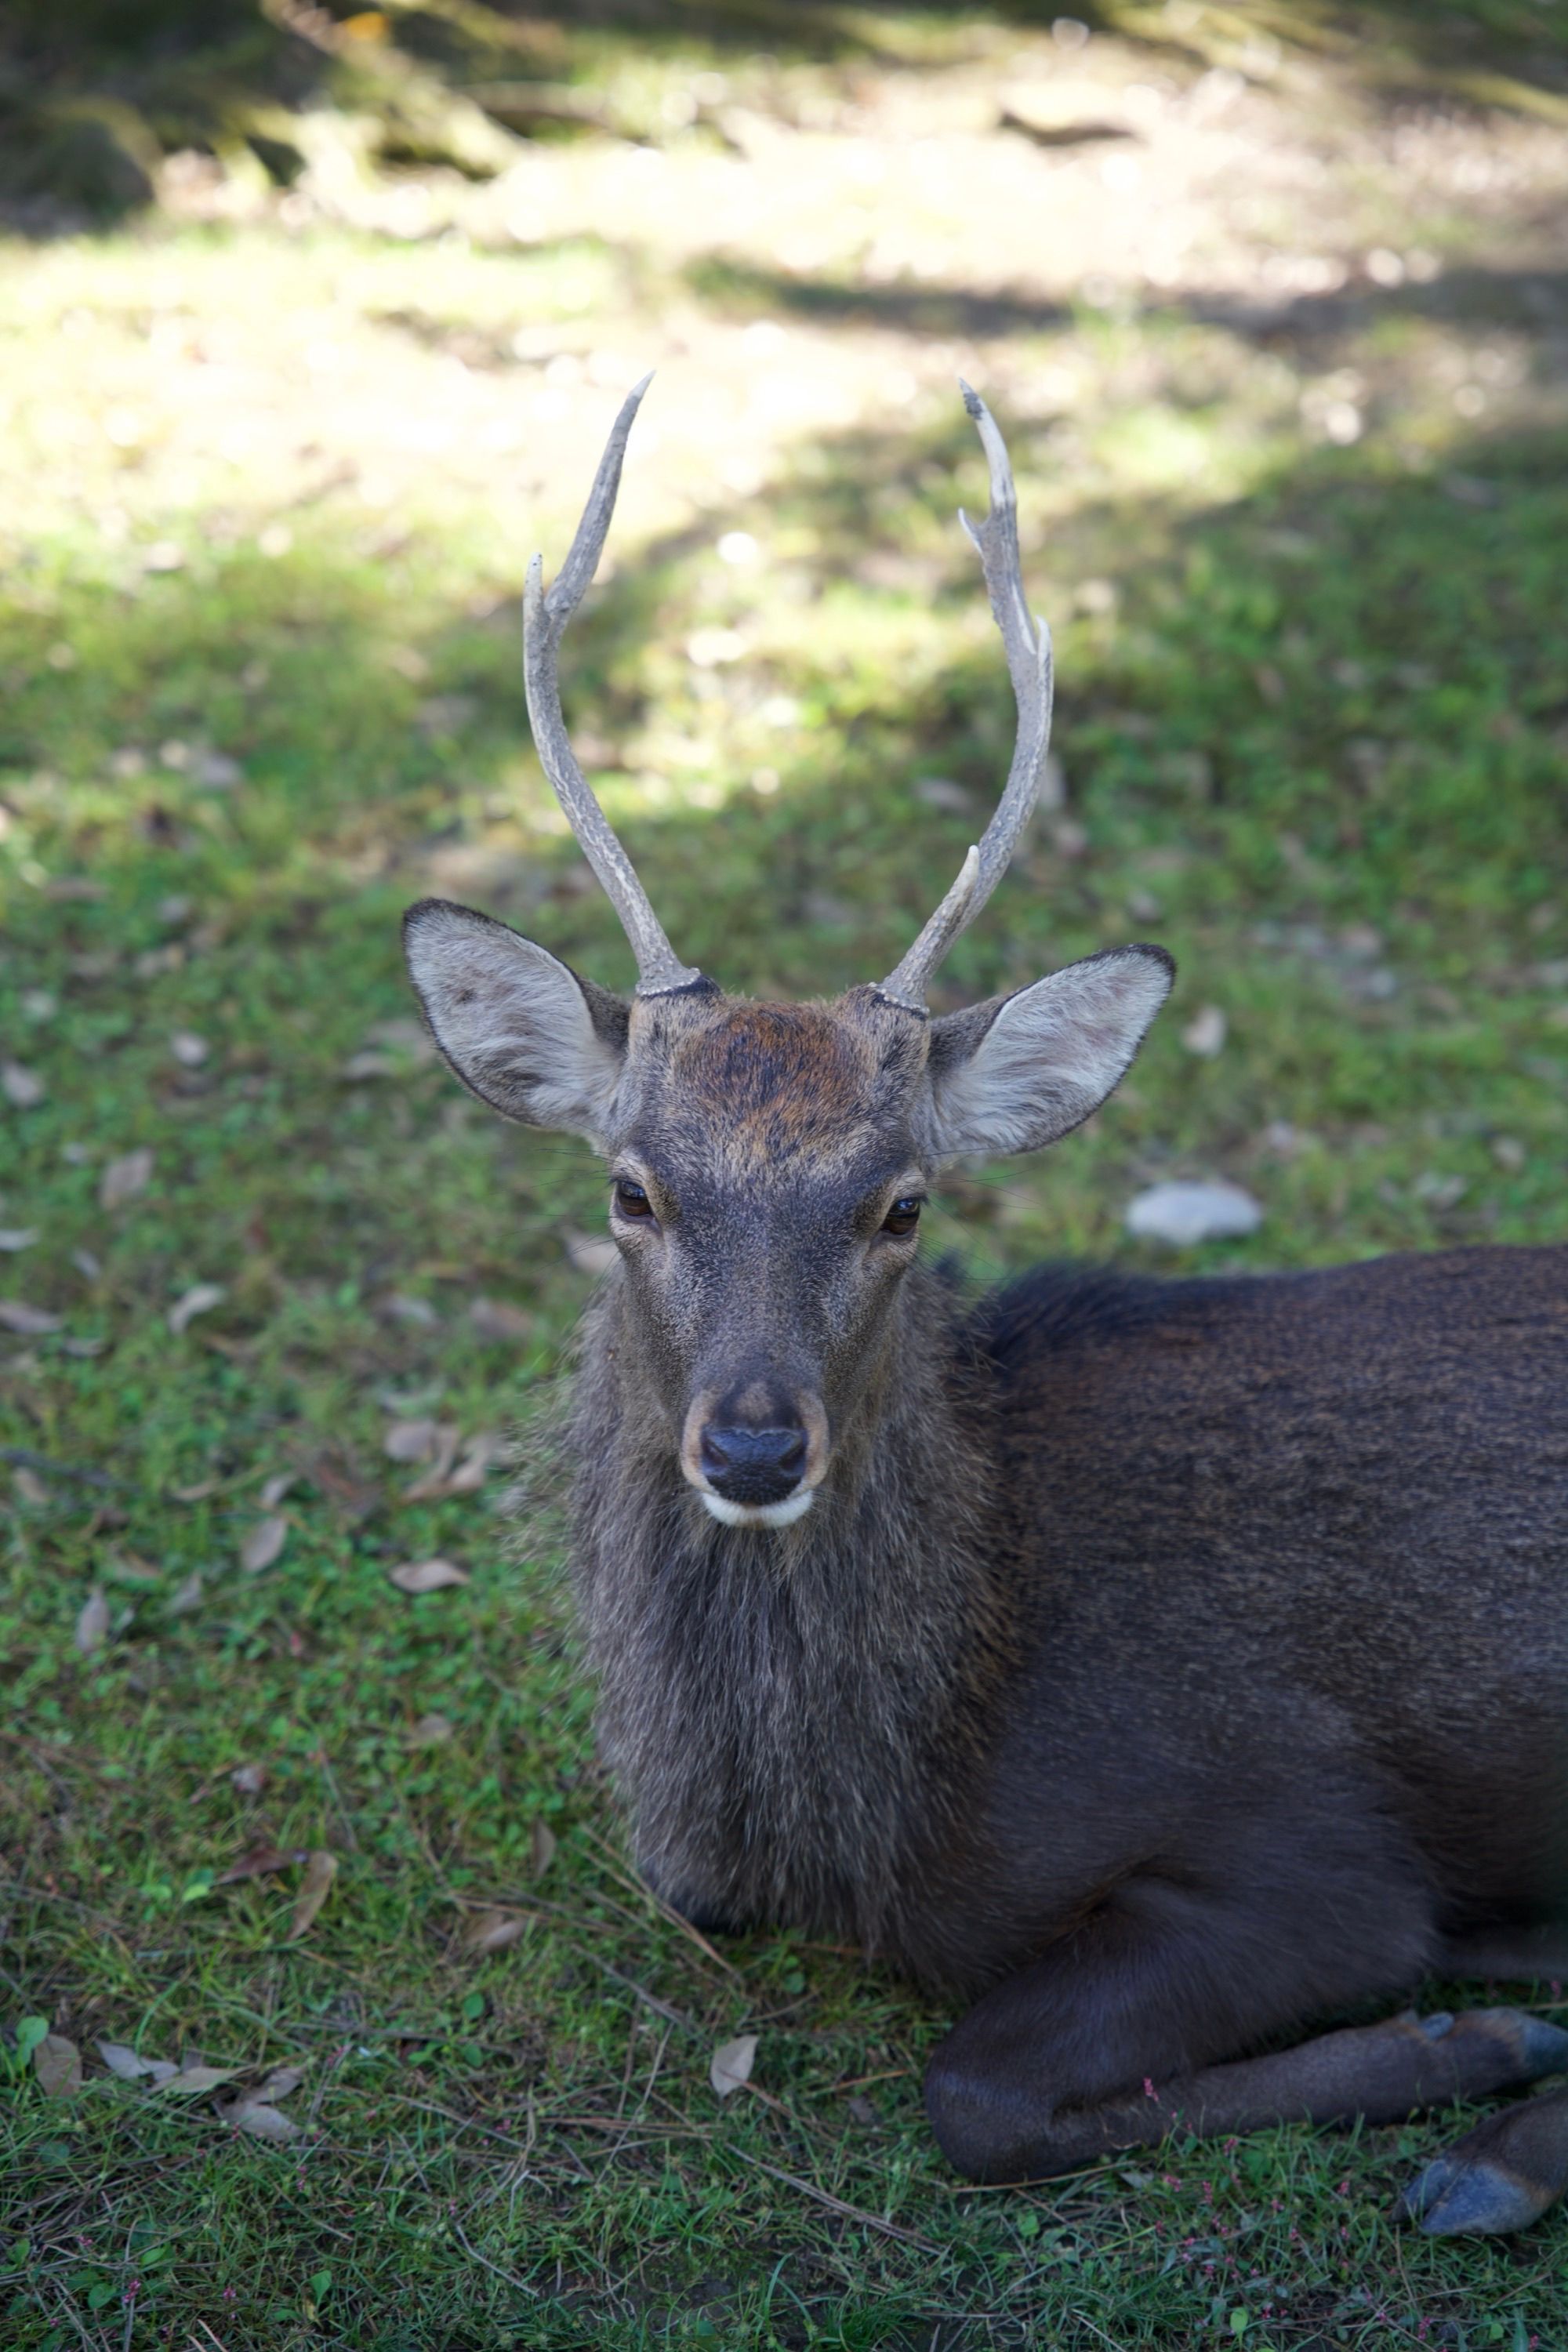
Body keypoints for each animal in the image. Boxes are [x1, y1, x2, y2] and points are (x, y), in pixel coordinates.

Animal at [404, 376, 1568, 2230]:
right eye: (631, 1191)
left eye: (902, 1204)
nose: (750, 1447)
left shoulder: (1309, 1839)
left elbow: (977, 2090)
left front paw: (1465, 2045)